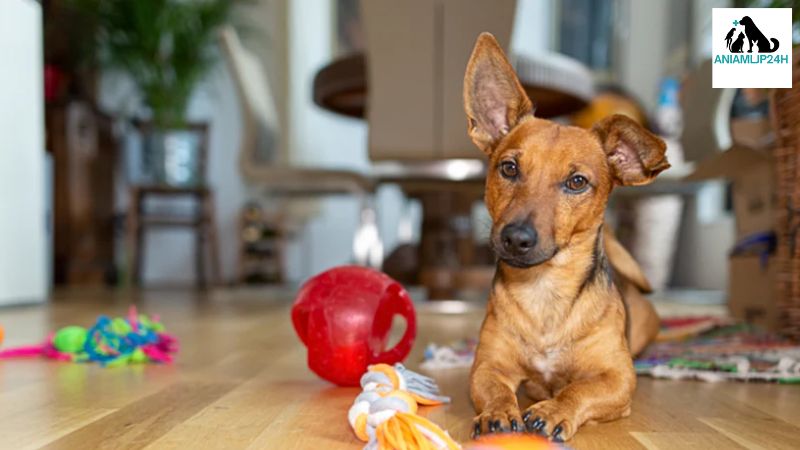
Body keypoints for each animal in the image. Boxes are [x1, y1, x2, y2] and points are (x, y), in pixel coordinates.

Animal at [462, 33, 668, 442]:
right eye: (509, 168)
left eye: (577, 182)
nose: (516, 238)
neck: (545, 291)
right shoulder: (487, 366)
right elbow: (495, 390)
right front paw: (498, 412)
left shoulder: (618, 378)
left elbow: (578, 390)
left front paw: (554, 409)